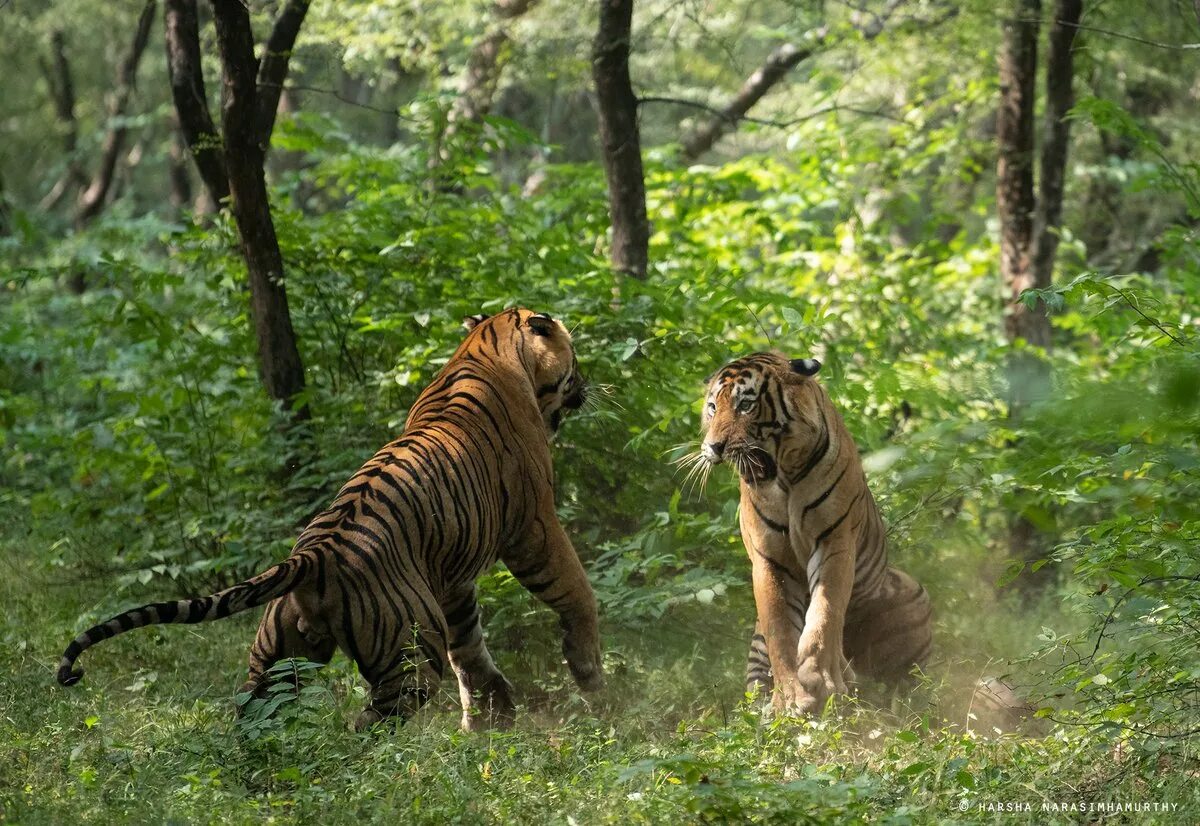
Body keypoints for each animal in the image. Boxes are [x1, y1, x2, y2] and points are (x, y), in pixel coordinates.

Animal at [57, 307, 604, 729]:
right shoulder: (533, 526)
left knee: (255, 712)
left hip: (279, 653)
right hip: (408, 652)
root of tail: (313, 555)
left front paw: (491, 716)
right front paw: (589, 674)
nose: (587, 385)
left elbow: (468, 647)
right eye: (574, 358)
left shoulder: (450, 574)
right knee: (369, 727)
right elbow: (574, 590)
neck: (485, 347)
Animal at [700, 350, 931, 710]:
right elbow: (780, 627)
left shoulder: (834, 540)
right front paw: (790, 697)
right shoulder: (770, 558)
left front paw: (821, 679)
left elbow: (825, 612)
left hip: (912, 595)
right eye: (713, 407)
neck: (784, 477)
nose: (714, 447)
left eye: (746, 404)